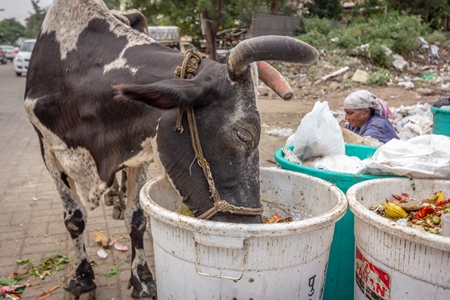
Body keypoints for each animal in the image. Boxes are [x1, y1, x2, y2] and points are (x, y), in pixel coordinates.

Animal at [23, 0, 320, 298]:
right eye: (243, 134)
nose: (250, 227)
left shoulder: (139, 150)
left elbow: (136, 219)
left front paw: (141, 278)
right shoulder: (48, 150)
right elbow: (75, 219)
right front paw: (82, 278)